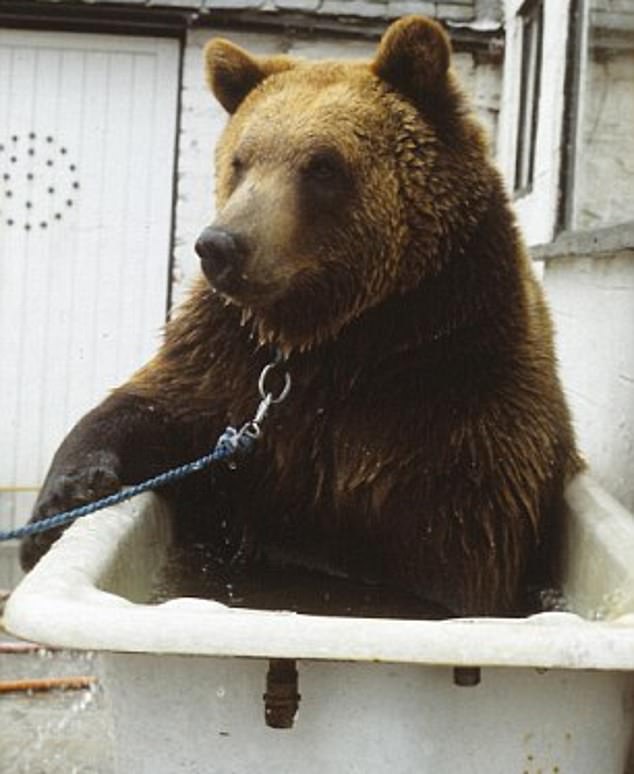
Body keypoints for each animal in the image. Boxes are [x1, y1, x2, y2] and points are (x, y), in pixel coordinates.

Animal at [20, 15, 581, 616]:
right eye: (240, 160)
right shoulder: (229, 360)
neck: (337, 336)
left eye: (323, 165)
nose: (220, 245)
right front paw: (64, 503)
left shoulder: (455, 391)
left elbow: (441, 551)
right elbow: (147, 407)